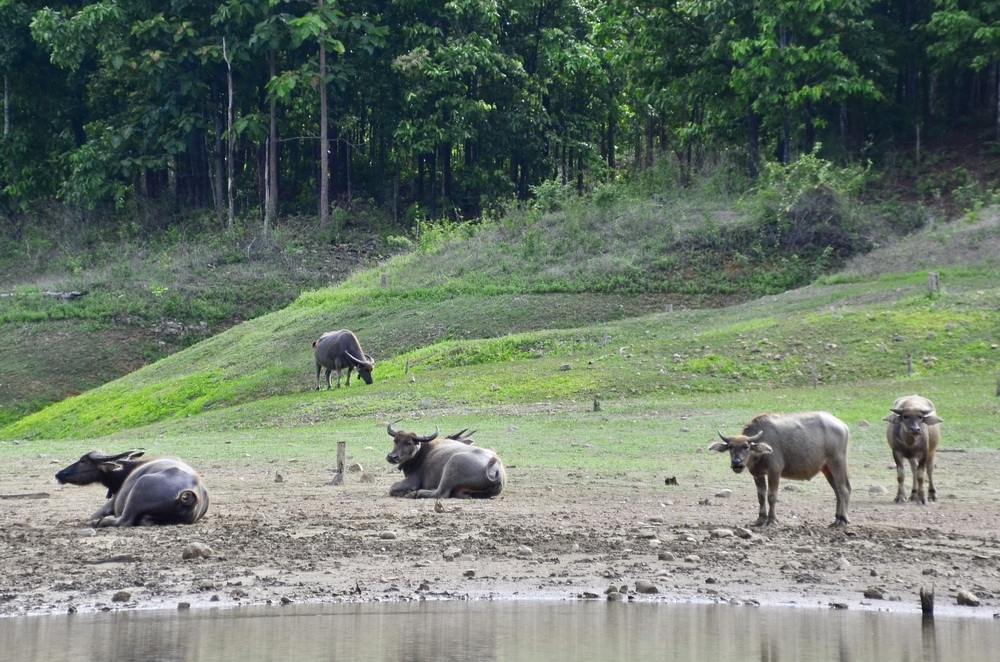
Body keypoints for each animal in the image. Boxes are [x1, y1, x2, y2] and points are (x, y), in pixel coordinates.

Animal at [54, 452, 209, 528]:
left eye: (83, 461)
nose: (59, 474)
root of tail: (188, 496)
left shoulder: (111, 503)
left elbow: (93, 515)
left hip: (139, 488)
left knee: (123, 521)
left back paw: (100, 522)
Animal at [712, 416, 852, 528]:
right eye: (730, 447)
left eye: (746, 446)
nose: (737, 463)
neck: (761, 452)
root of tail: (843, 426)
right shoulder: (758, 474)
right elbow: (761, 496)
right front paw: (760, 519)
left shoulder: (774, 472)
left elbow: (772, 496)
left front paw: (771, 520)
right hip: (826, 468)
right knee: (837, 491)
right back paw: (836, 519)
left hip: (837, 462)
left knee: (844, 489)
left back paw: (843, 520)